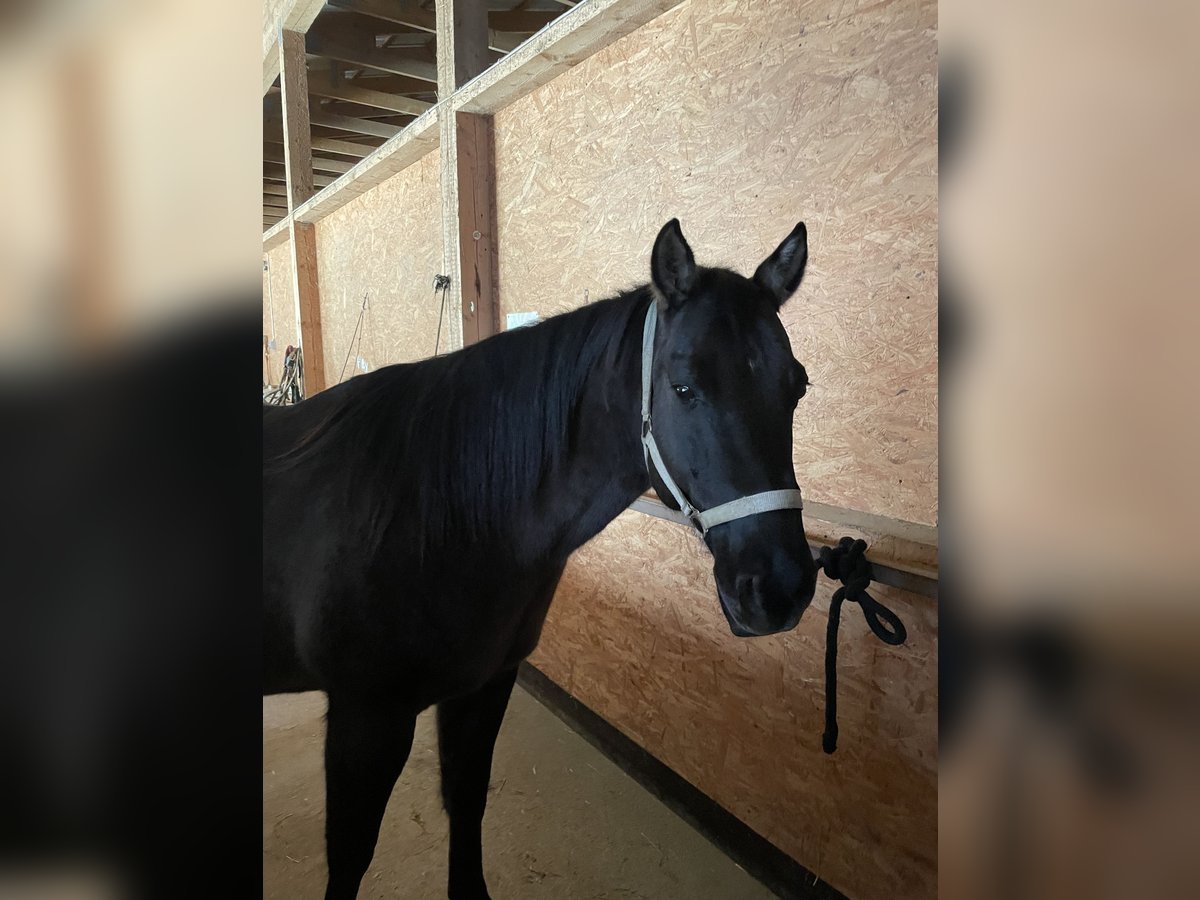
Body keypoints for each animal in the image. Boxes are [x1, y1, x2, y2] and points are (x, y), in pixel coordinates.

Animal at [265, 220, 816, 900]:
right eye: (683, 387)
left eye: (797, 387)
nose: (780, 589)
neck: (434, 510)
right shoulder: (364, 718)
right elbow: (349, 858)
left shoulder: (484, 686)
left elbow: (467, 801)